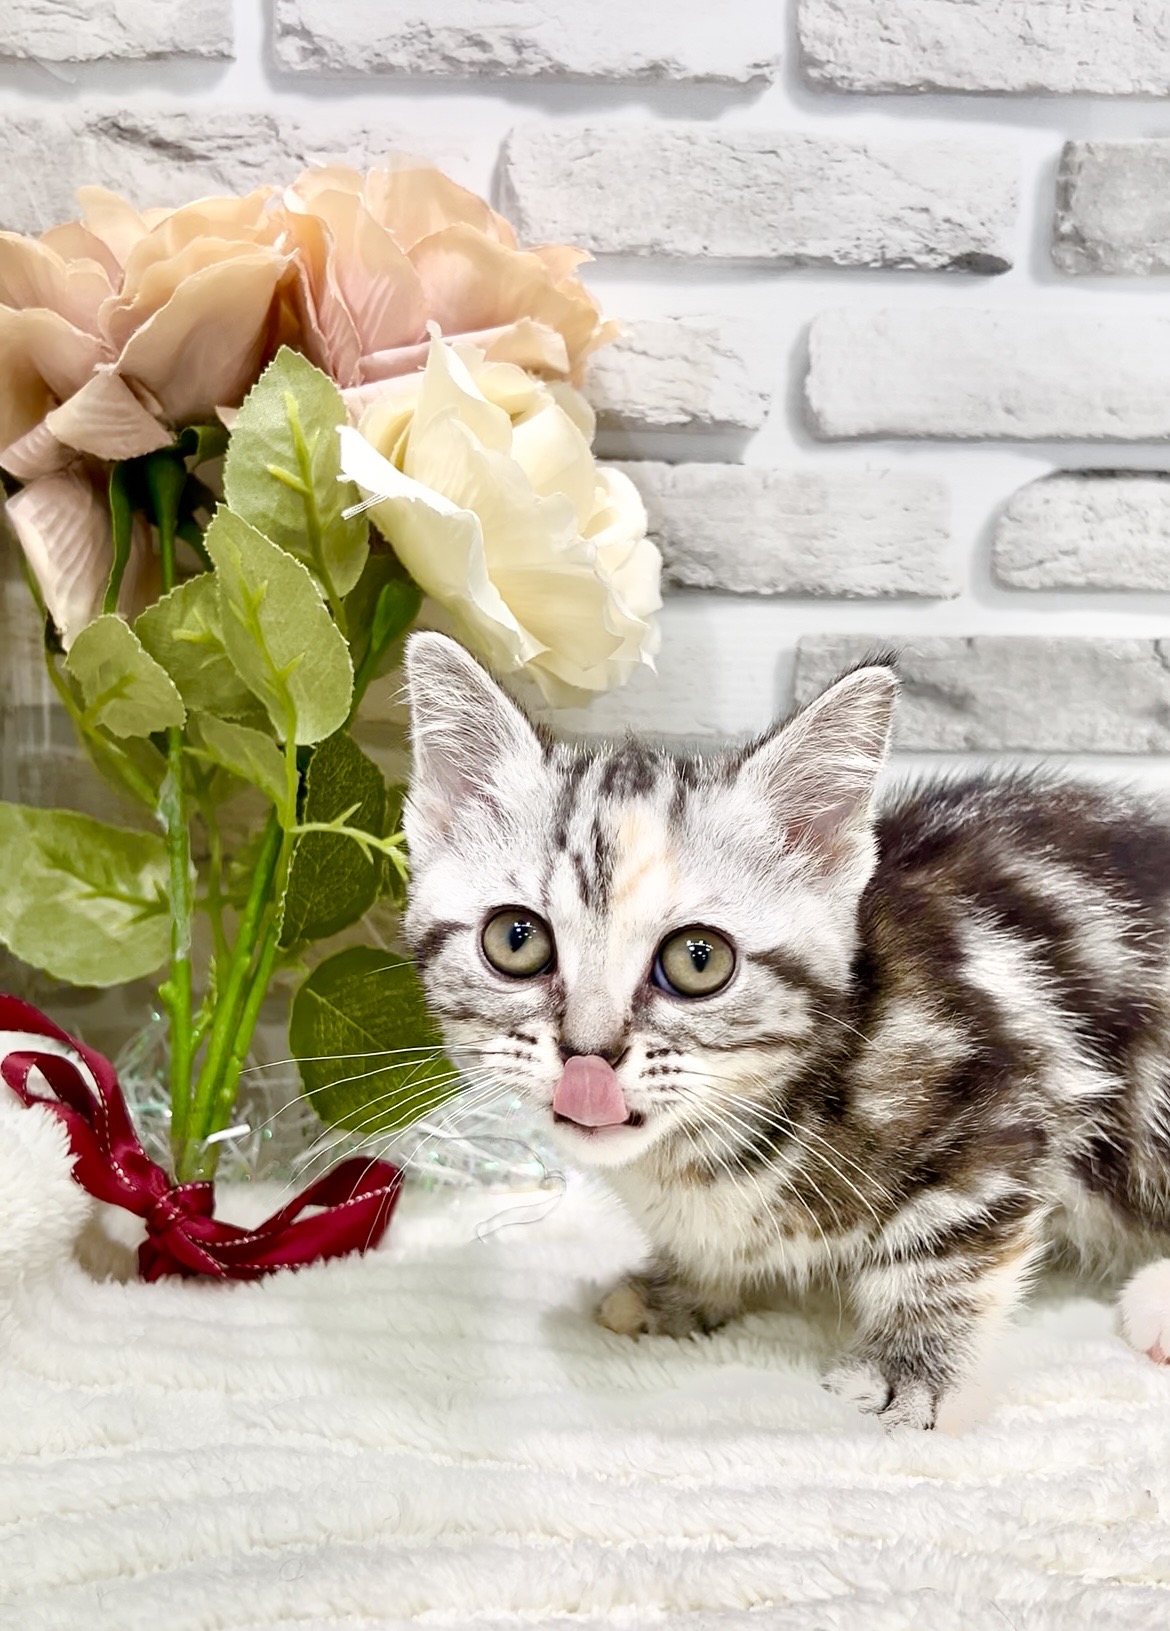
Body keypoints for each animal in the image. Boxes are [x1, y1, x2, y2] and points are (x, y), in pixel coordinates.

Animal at [400, 630, 1170, 1429]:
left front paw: (911, 1369)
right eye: (516, 940)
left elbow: (949, 1245)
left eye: (698, 958)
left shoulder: (1013, 1091)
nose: (590, 1055)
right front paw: (681, 1289)